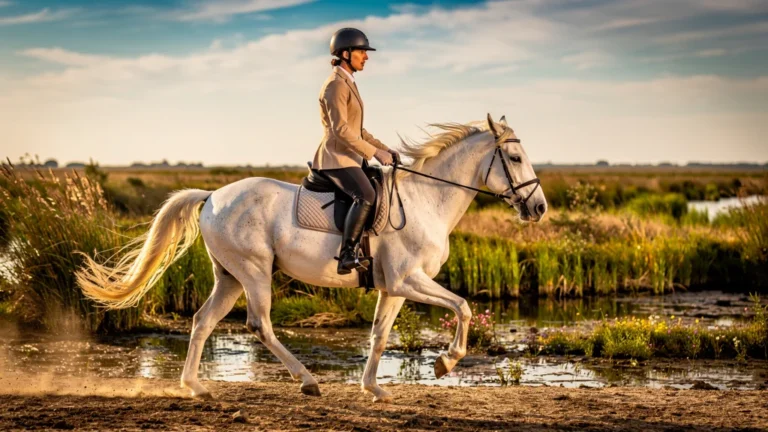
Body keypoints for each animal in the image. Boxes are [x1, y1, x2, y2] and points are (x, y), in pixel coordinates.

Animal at [76, 114, 547, 403]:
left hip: (228, 276)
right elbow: (463, 307)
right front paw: (445, 362)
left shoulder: (392, 288)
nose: (539, 208)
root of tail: (212, 196)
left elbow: (379, 336)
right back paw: (306, 381)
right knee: (259, 325)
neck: (426, 200)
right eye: (515, 157)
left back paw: (195, 387)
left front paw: (374, 389)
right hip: (254, 273)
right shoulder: (407, 281)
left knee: (202, 321)